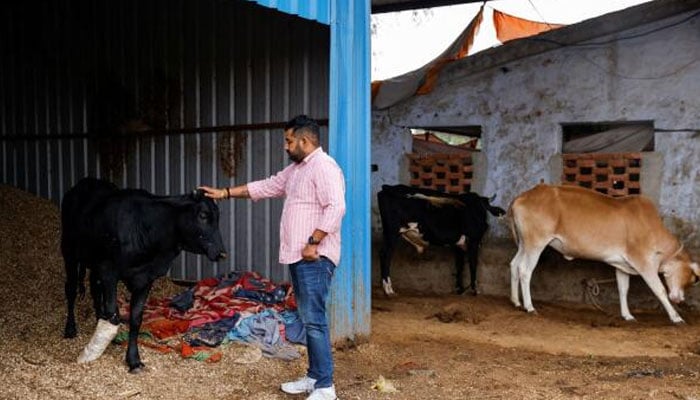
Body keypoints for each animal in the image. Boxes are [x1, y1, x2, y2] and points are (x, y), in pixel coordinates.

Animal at [61, 178, 227, 372]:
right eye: (203, 215)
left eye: (218, 217)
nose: (222, 253)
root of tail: (84, 182)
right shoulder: (109, 271)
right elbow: (113, 313)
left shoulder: (145, 278)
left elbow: (135, 318)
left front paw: (133, 360)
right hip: (69, 252)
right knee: (71, 289)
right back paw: (70, 328)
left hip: (94, 262)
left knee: (95, 288)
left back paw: (97, 320)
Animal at [508, 184, 700, 324]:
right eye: (693, 278)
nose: (680, 300)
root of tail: (521, 197)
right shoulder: (643, 262)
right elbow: (659, 289)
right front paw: (676, 317)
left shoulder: (623, 265)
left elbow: (623, 289)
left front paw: (627, 315)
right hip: (536, 242)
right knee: (525, 270)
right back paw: (529, 307)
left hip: (524, 243)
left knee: (514, 264)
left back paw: (516, 301)